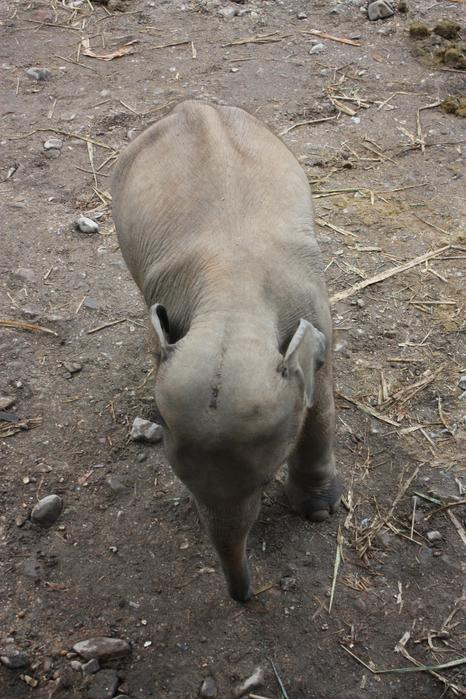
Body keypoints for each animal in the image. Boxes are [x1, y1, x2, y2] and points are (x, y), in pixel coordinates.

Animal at [112, 100, 341, 602]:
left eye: (266, 479)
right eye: (180, 480)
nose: (243, 598)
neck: (234, 297)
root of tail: (192, 104)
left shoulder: (315, 310)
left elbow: (319, 402)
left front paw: (317, 514)